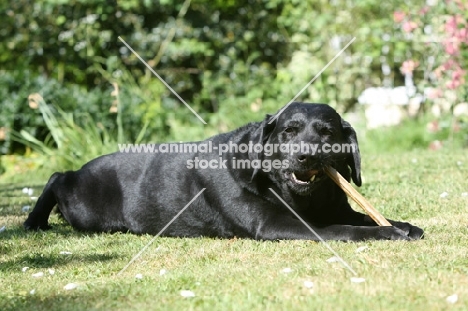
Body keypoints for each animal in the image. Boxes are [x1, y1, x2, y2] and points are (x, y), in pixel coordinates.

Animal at [22, 102, 424, 241]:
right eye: (289, 131)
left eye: (327, 133)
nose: (306, 156)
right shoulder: (275, 224)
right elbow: (345, 230)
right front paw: (388, 234)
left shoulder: (336, 207)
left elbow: (364, 217)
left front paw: (402, 225)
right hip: (86, 207)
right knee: (57, 177)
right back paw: (33, 220)